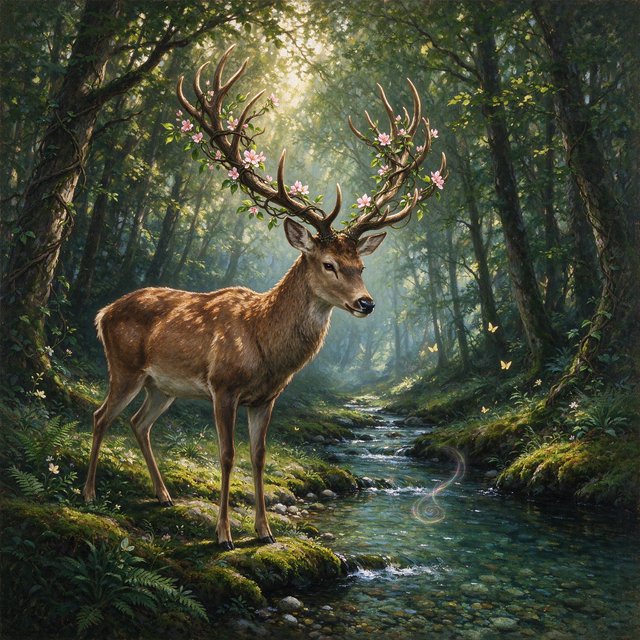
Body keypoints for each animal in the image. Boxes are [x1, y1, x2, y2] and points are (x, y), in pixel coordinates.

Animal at [82, 45, 447, 550]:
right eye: (328, 264)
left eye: (361, 265)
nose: (367, 303)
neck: (264, 345)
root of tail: (103, 312)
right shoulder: (223, 386)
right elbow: (227, 455)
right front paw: (224, 535)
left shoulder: (266, 397)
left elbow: (258, 456)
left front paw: (265, 531)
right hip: (125, 367)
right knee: (101, 415)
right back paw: (90, 493)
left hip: (162, 386)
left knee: (138, 422)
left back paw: (164, 494)